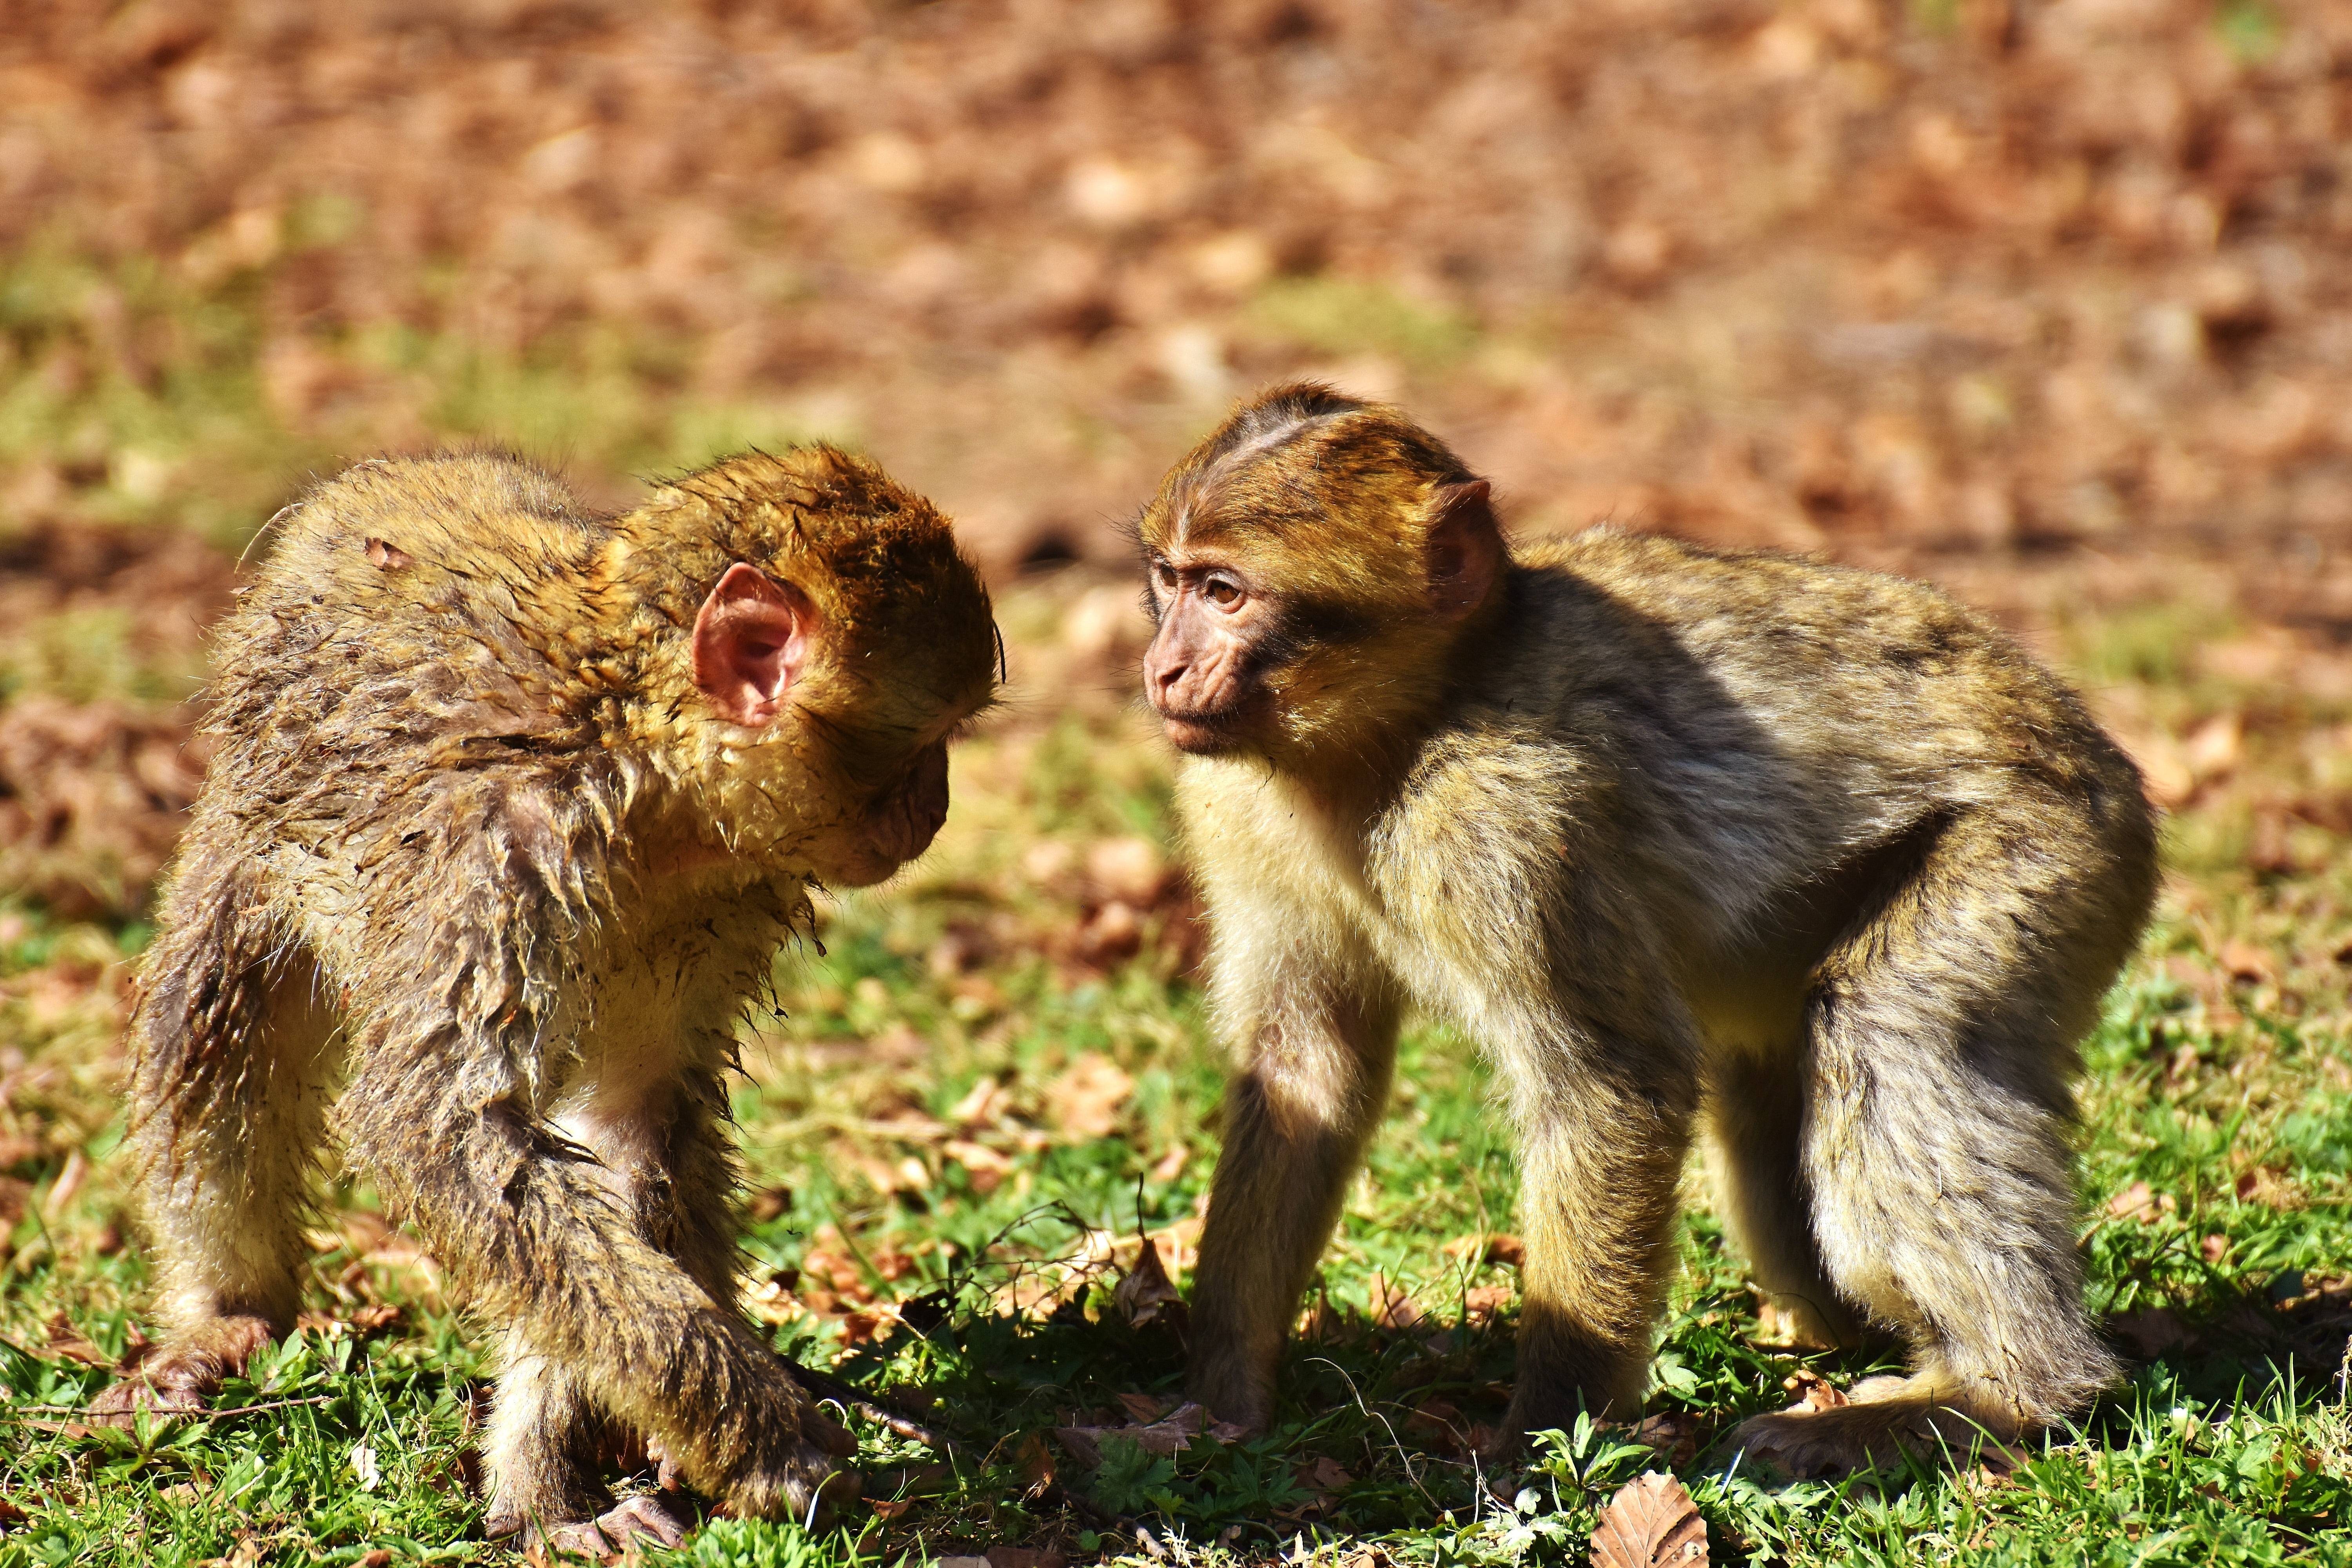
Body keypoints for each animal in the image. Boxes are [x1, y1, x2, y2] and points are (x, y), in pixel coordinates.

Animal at [90, 448, 999, 1553]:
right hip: (245, 817)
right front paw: (761, 1440)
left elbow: (626, 1124)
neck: (643, 776)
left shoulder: (731, 888)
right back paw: (227, 1311)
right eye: (930, 738)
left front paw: (558, 1474)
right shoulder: (495, 854)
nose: (938, 805)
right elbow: (442, 1129)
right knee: (215, 1017)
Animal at [1135, 385, 2156, 1477]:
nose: (1164, 665)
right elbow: (1305, 1071)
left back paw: (2003, 1394)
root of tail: (2101, 752)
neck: (1405, 723)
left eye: (1226, 593)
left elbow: (1611, 1083)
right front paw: (1222, 1400)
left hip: (2047, 847)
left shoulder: (1508, 817)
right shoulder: (1235, 808)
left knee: (1889, 1029)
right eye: (1170, 580)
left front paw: (1545, 1443)